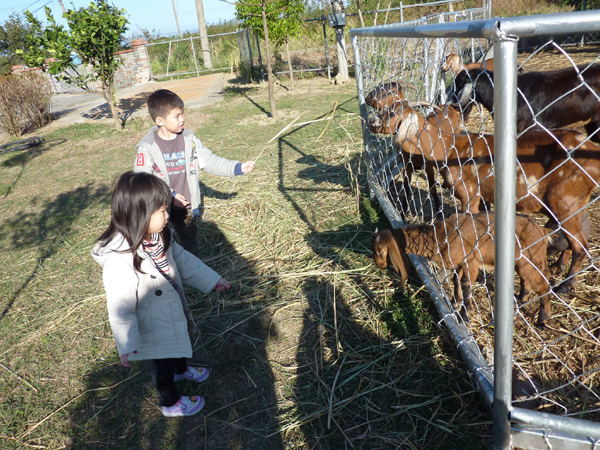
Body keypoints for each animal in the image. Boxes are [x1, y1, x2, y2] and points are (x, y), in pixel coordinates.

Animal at [370, 100, 600, 294]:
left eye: (393, 113)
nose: (372, 122)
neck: (449, 149)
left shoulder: (469, 193)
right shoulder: (482, 196)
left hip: (564, 201)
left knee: (581, 246)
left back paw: (564, 286)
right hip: (571, 203)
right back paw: (557, 267)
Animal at [376, 213, 552, 326]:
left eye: (381, 252)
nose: (379, 266)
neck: (439, 237)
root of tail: (543, 232)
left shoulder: (471, 261)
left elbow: (466, 284)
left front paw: (465, 314)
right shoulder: (459, 263)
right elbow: (456, 281)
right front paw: (454, 302)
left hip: (529, 259)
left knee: (543, 283)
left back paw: (542, 319)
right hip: (523, 261)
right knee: (528, 279)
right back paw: (522, 298)